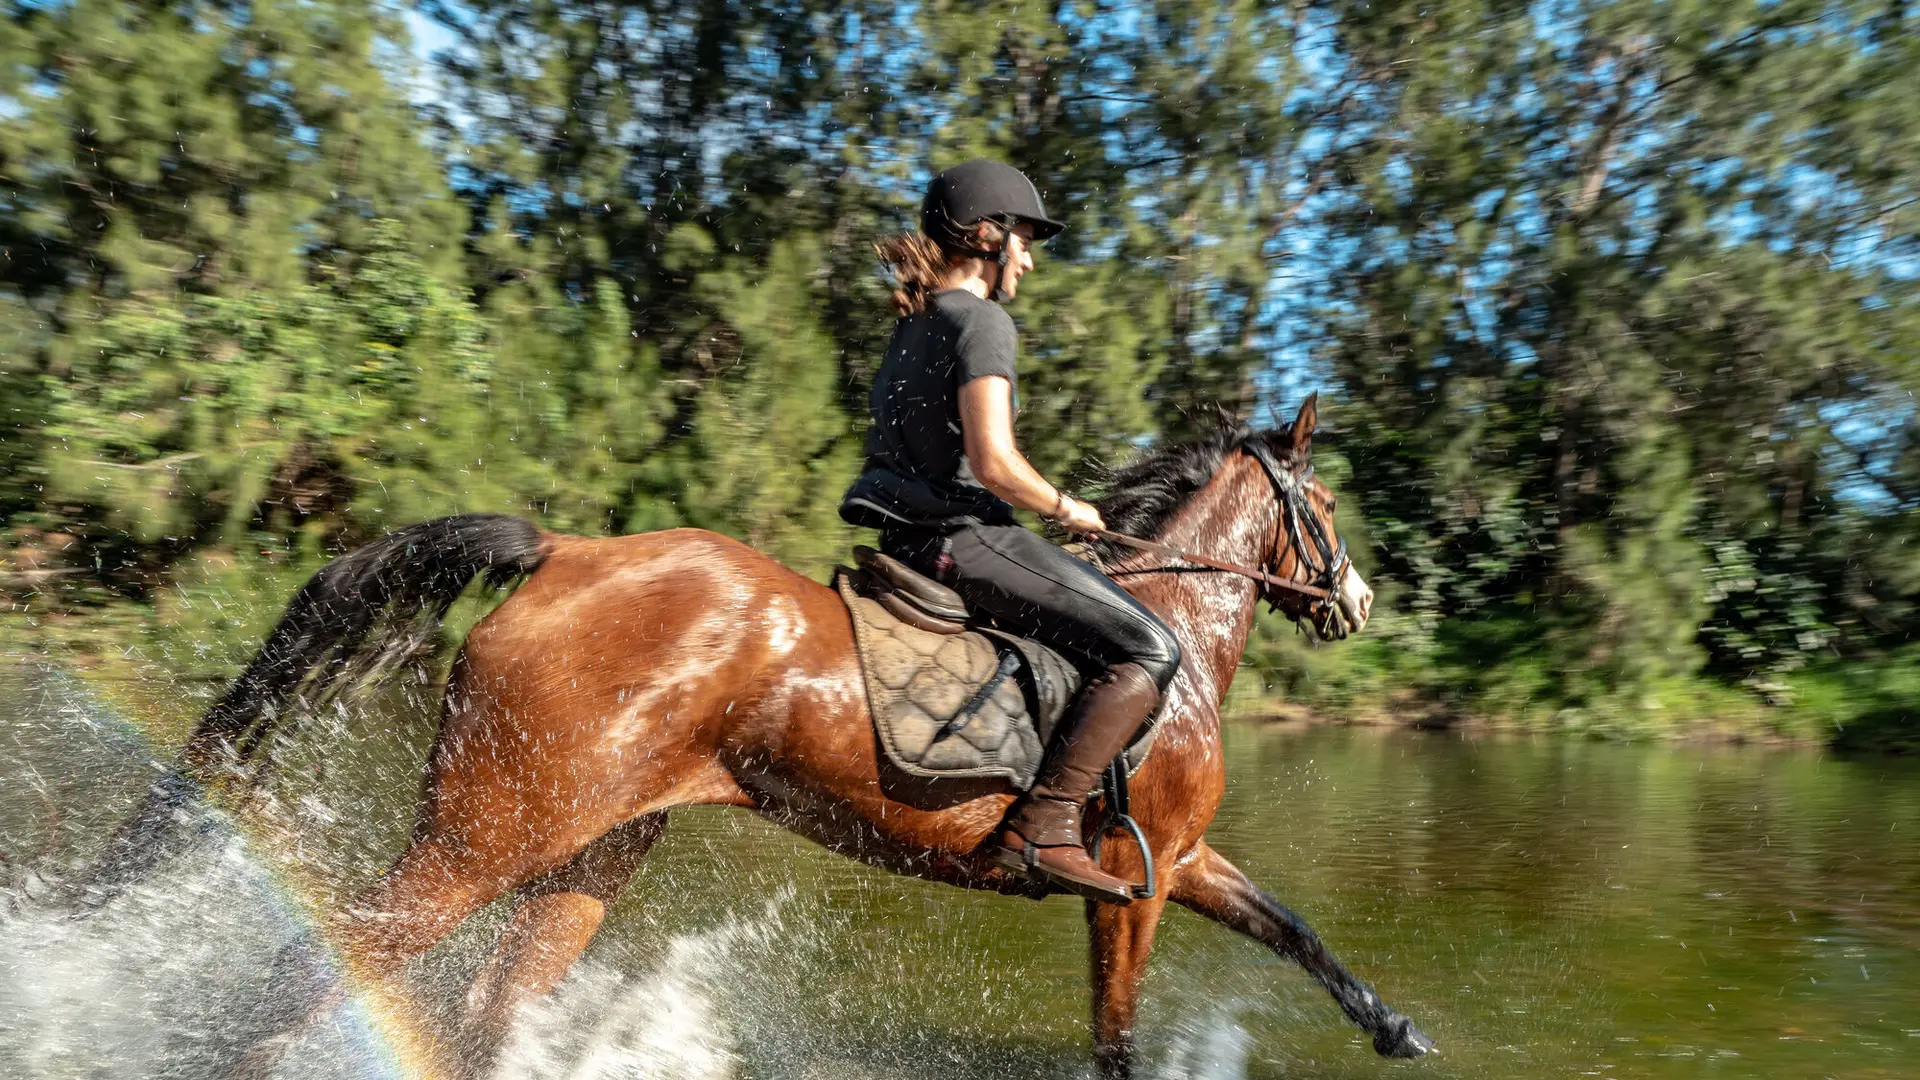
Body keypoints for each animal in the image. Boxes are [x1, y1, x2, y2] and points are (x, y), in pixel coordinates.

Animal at [101, 397, 1428, 1076]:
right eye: (1327, 508)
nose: (1359, 601)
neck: (1175, 639)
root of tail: (568, 552)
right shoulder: (1132, 886)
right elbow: (1114, 1038)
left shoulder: (1180, 862)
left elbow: (1295, 930)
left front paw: (1396, 1028)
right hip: (484, 839)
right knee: (316, 965)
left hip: (591, 851)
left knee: (487, 1007)